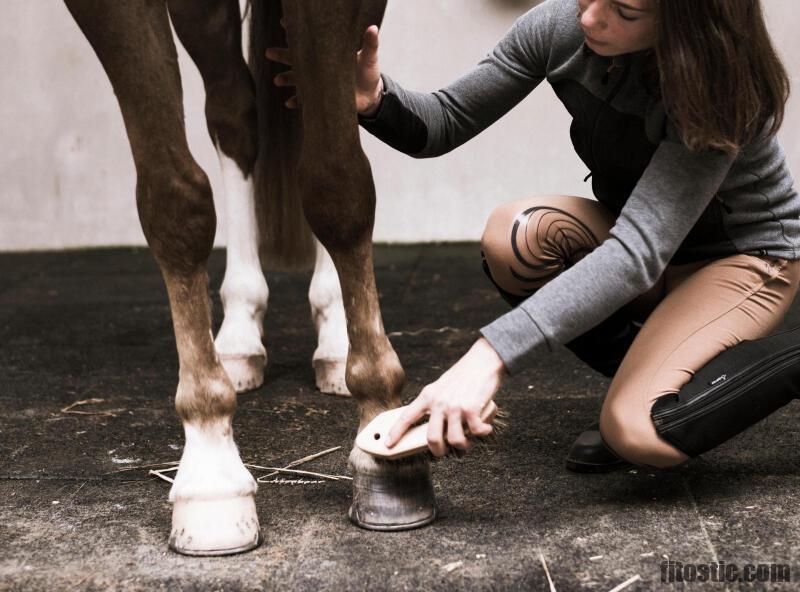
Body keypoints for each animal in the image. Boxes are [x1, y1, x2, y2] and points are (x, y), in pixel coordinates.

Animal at [65, 0, 434, 556]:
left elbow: (337, 183)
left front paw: (383, 431)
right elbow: (174, 202)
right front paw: (210, 469)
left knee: (304, 106)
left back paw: (336, 333)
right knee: (234, 112)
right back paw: (240, 328)